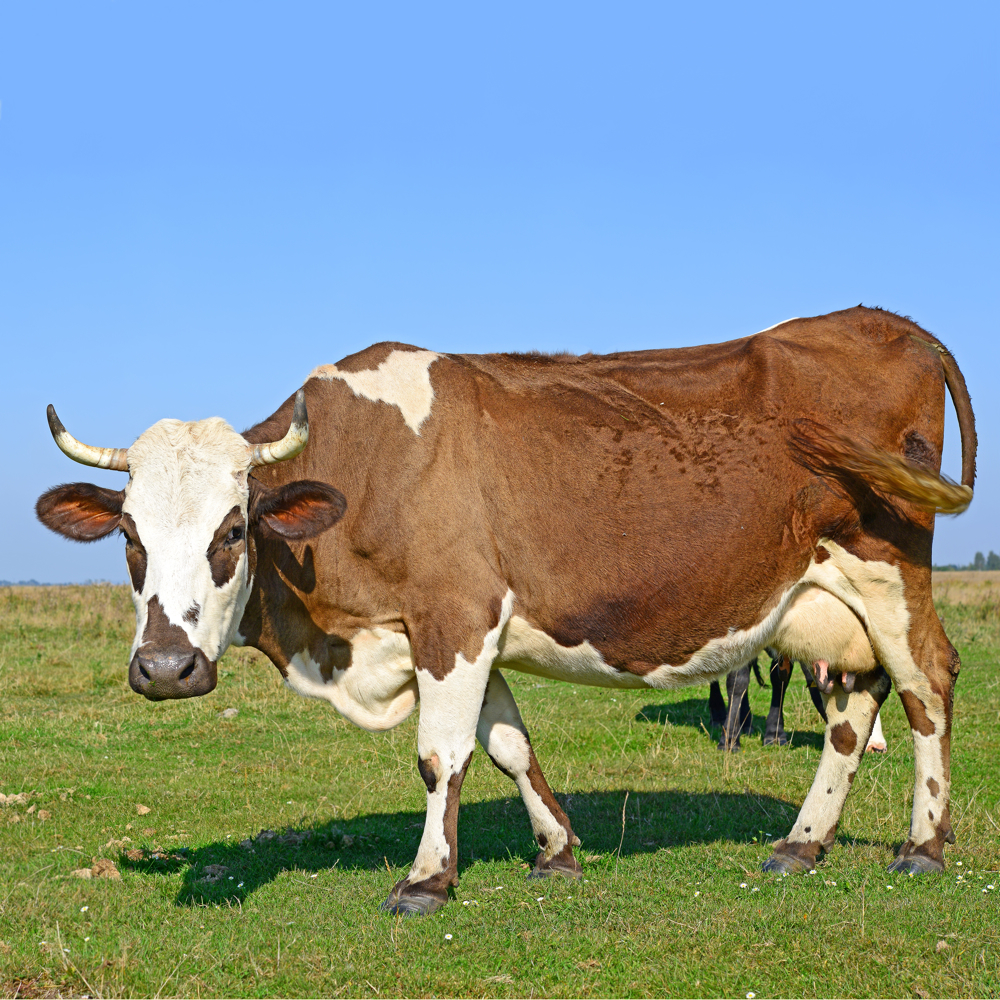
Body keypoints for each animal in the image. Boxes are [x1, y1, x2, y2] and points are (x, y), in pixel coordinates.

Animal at [35, 307, 975, 915]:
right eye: (128, 533)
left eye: (233, 527)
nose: (166, 668)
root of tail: (884, 321)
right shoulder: (460, 631)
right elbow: (508, 745)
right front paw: (556, 852)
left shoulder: (454, 615)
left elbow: (440, 756)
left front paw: (427, 879)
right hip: (827, 602)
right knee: (854, 709)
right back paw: (802, 842)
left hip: (888, 573)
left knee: (926, 684)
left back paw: (924, 845)